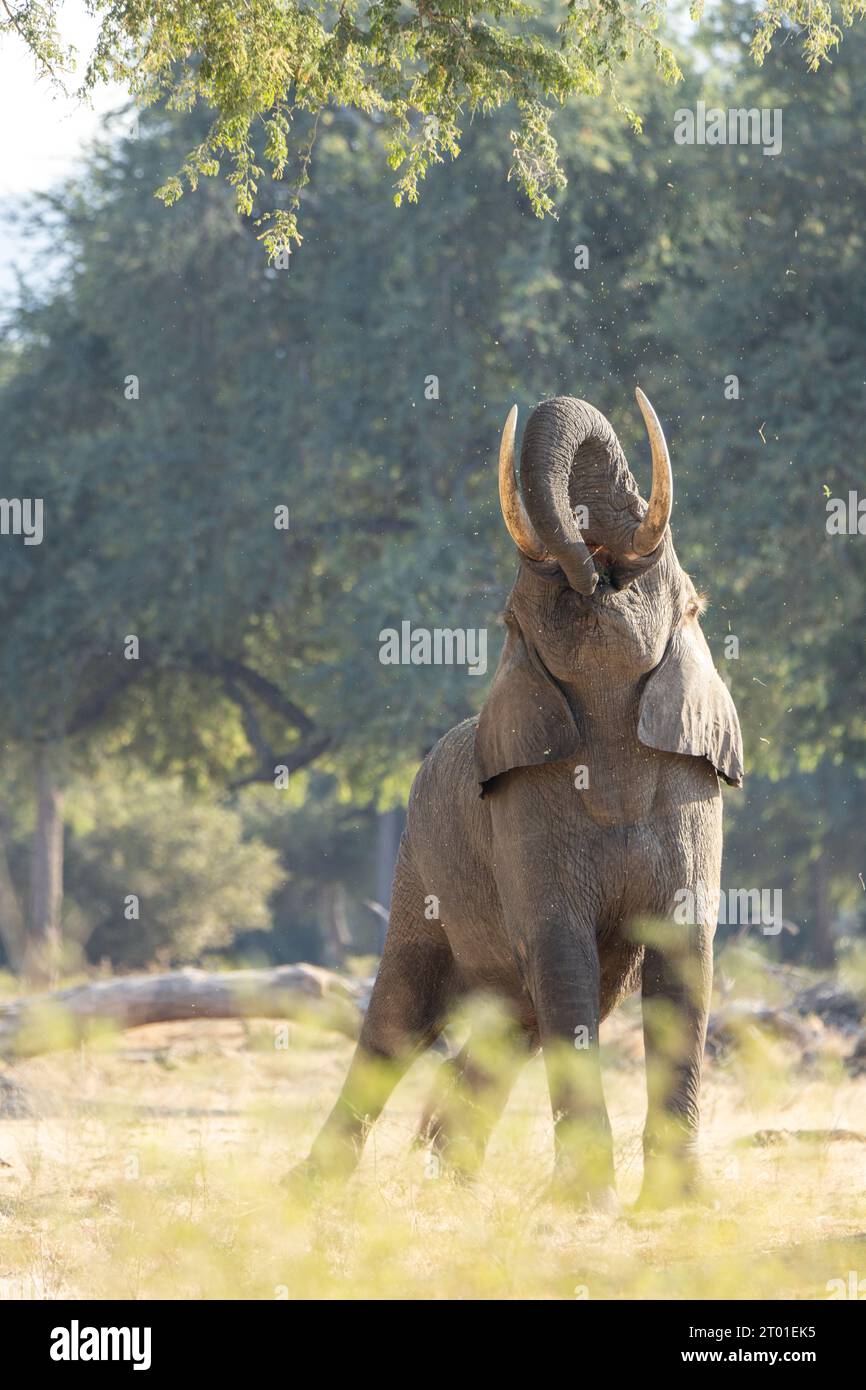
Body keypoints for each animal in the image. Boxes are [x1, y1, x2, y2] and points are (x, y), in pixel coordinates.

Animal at [294, 389, 739, 1206]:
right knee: (401, 1017)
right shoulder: (526, 809)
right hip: (417, 866)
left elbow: (681, 958)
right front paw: (587, 1202)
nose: (591, 565)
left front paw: (676, 1207)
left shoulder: (692, 792)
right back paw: (312, 1187)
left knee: (512, 1023)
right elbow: (559, 954)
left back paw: (451, 1177)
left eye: (686, 597)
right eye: (511, 611)